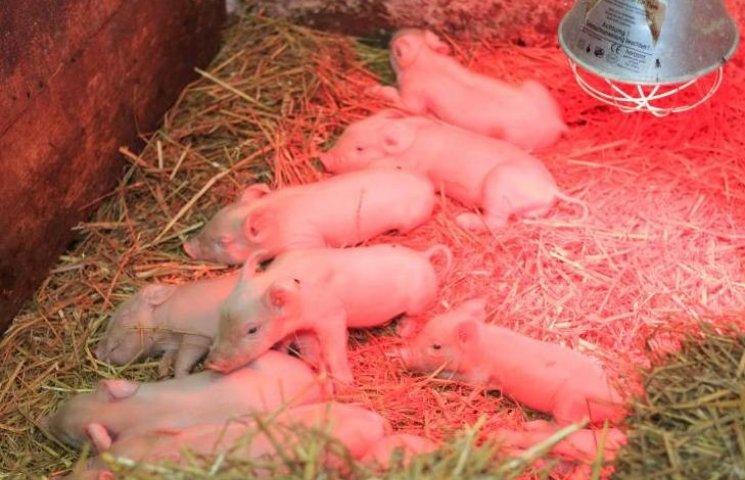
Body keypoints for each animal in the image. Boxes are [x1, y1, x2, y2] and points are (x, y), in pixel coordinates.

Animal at [206, 244, 453, 383]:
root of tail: (423, 256)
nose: (212, 364)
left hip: (419, 300)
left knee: (414, 316)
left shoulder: (332, 316)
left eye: (252, 329)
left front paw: (345, 383)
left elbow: (334, 347)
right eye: (220, 316)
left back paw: (401, 331)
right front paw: (305, 361)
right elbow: (304, 345)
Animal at [321, 110, 587, 232]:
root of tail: (550, 189)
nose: (323, 159)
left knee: (496, 223)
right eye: (347, 131)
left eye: (360, 148)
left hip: (497, 186)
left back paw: (463, 220)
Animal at [367, 28, 567, 151]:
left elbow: (409, 107)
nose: (394, 32)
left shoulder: (413, 91)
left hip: (517, 138)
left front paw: (374, 90)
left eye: (393, 48)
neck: (425, 59)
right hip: (535, 87)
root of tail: (557, 123)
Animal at [394, 299, 627, 425]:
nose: (405, 354)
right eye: (423, 330)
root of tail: (620, 404)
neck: (480, 348)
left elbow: (463, 383)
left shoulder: (480, 377)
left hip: (571, 402)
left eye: (436, 346)